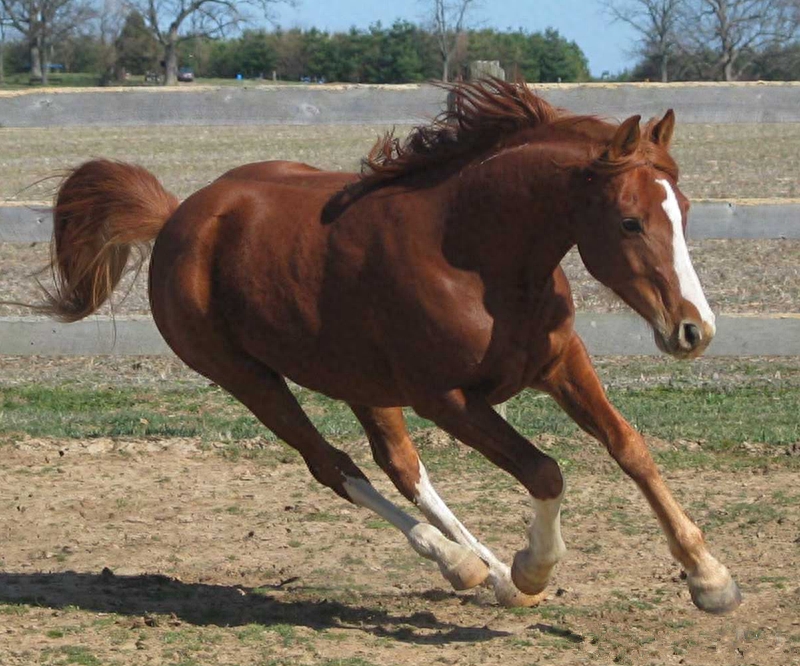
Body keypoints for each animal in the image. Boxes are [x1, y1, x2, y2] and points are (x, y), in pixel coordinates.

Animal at [36, 79, 736, 612]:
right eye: (629, 221)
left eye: (685, 210)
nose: (693, 330)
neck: (474, 257)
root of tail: (179, 217)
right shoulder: (446, 398)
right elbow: (544, 469)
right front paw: (534, 566)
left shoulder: (560, 363)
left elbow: (630, 447)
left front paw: (709, 578)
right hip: (248, 379)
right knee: (334, 466)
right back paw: (461, 562)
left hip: (360, 381)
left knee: (401, 466)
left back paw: (486, 571)